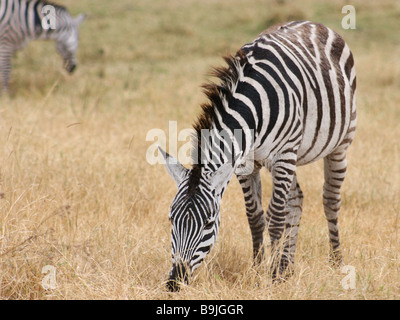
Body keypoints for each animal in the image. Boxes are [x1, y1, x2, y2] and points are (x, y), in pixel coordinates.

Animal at [159, 18, 356, 292]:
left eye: (209, 223)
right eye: (171, 220)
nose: (175, 282)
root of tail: (312, 22)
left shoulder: (283, 155)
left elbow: (275, 217)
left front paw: (271, 278)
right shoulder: (245, 164)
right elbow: (255, 217)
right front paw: (258, 270)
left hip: (339, 144)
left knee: (330, 200)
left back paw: (335, 263)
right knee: (296, 199)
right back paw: (287, 267)